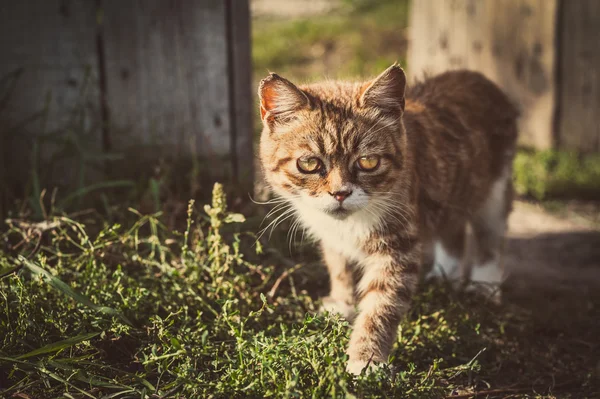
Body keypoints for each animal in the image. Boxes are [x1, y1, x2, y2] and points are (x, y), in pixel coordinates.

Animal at [255, 65, 516, 376]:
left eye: (368, 162)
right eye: (308, 163)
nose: (340, 193)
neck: (350, 223)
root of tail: (475, 76)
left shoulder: (398, 245)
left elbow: (381, 303)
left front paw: (366, 359)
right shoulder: (331, 235)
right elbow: (339, 267)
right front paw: (341, 305)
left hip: (494, 192)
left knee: (489, 237)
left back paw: (484, 286)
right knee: (452, 230)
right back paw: (443, 277)